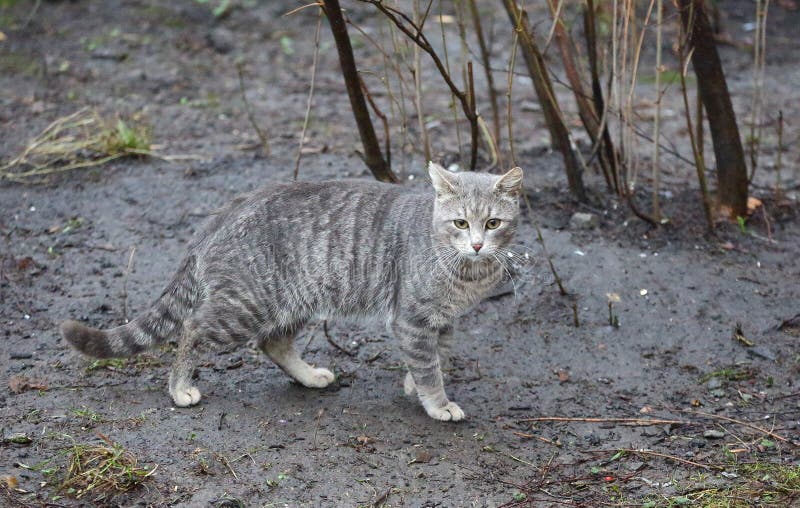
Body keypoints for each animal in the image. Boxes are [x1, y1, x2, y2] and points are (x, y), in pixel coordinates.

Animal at [64, 163, 524, 420]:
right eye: (461, 223)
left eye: (494, 223)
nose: (478, 244)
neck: (466, 273)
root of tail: (227, 209)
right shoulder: (412, 318)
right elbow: (429, 368)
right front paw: (436, 402)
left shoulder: (443, 320)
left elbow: (435, 357)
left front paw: (415, 384)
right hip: (244, 306)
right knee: (193, 330)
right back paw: (179, 388)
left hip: (297, 300)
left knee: (273, 343)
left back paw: (309, 376)